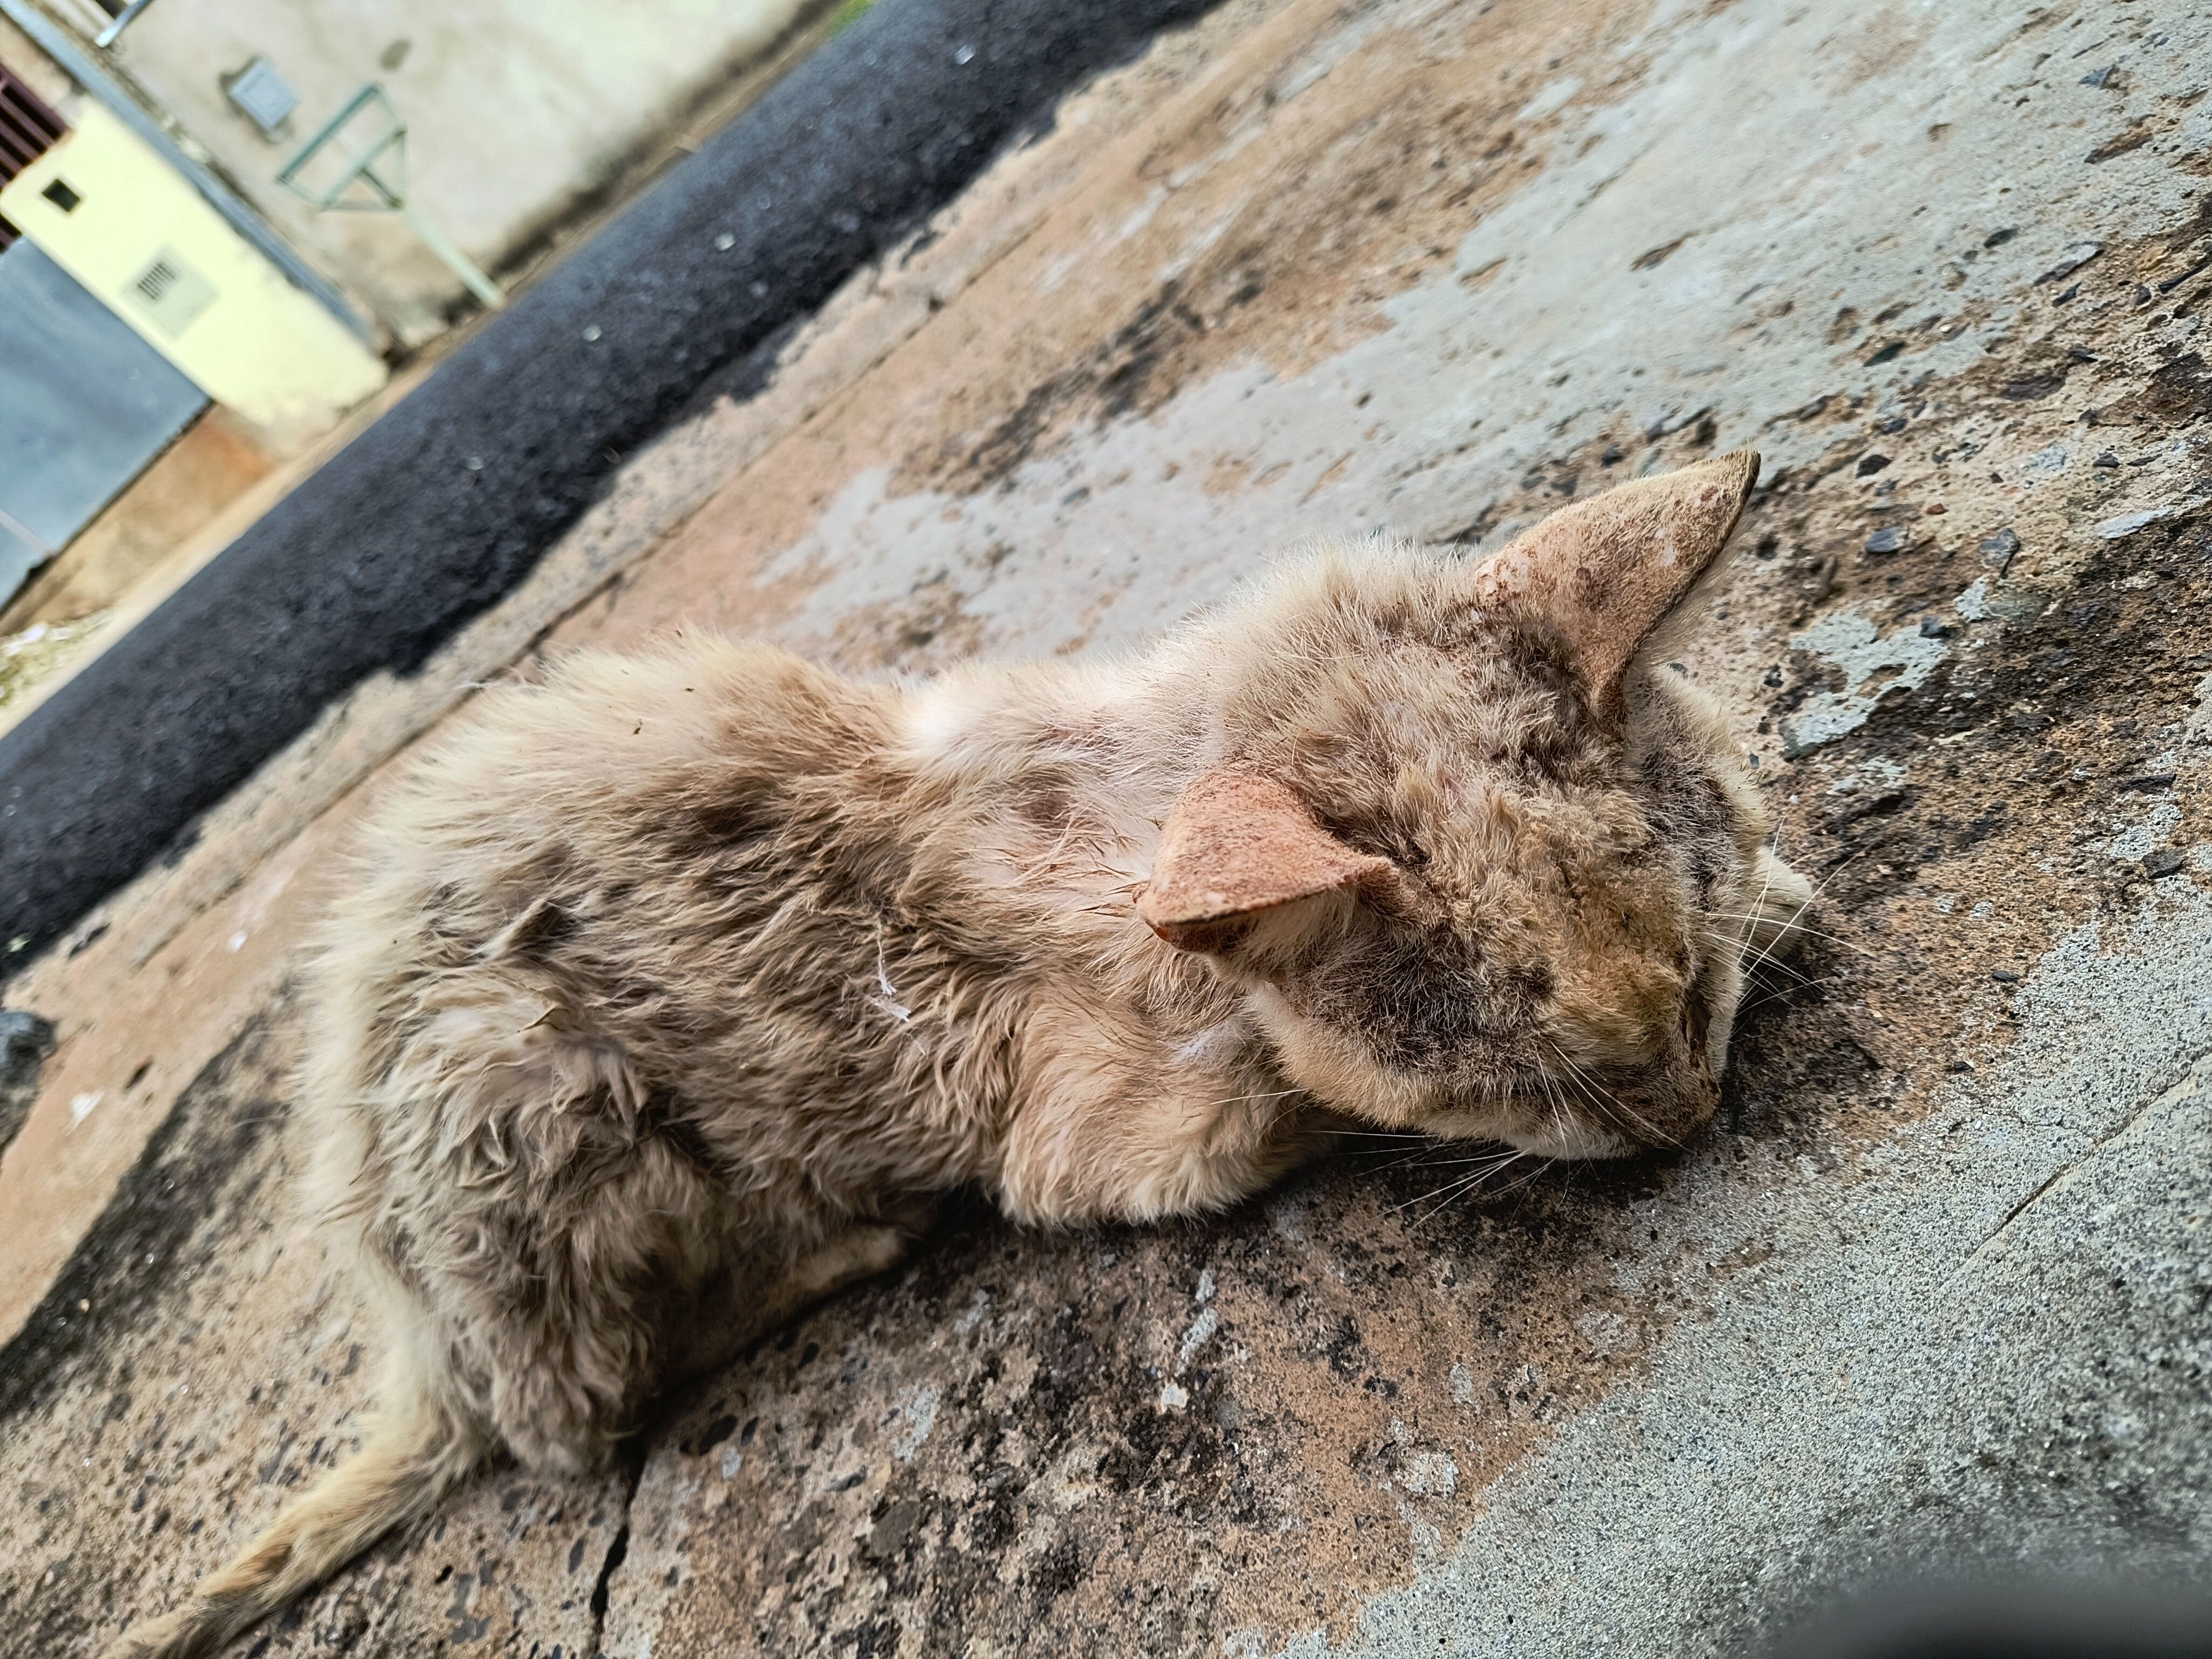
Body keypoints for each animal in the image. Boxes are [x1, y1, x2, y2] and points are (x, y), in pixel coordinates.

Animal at [107, 449, 1813, 1654]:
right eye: (1524, 1079)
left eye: (1681, 989)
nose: (1687, 1112)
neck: (1121, 794)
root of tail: (416, 1346)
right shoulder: (1097, 1132)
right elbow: (1289, 1107)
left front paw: (1774, 894)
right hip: (527, 1098)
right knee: (575, 1422)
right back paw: (840, 1240)